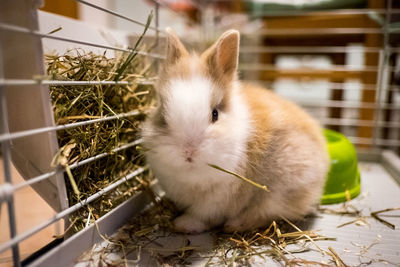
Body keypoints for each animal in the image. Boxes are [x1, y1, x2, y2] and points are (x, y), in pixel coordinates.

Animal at [142, 28, 330, 234]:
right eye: (163, 115)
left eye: (215, 114)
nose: (188, 151)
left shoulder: (216, 199)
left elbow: (203, 216)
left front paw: (183, 224)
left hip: (280, 191)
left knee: (266, 213)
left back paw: (235, 224)